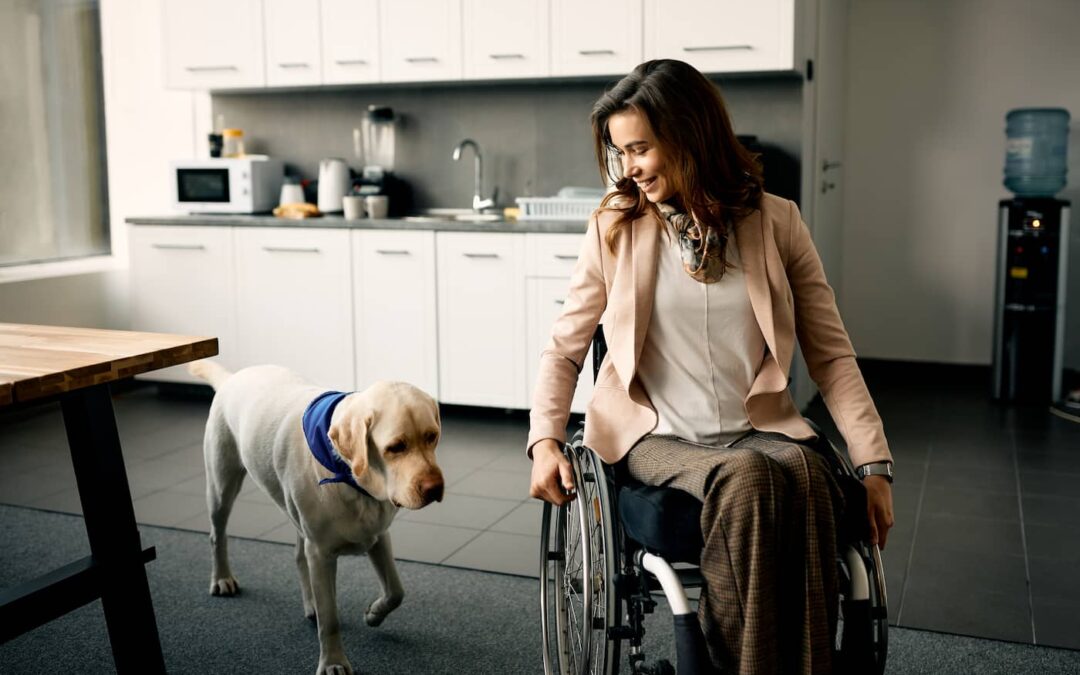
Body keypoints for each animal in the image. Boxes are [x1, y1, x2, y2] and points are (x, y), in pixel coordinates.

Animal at [187, 360, 440, 673]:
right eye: (396, 447)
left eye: (432, 436)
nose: (435, 488)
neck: (351, 478)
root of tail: (231, 378)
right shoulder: (321, 554)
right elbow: (330, 619)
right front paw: (333, 662)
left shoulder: (378, 535)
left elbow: (396, 591)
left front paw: (374, 613)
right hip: (222, 485)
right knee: (217, 534)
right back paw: (222, 578)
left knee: (298, 555)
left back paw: (310, 605)